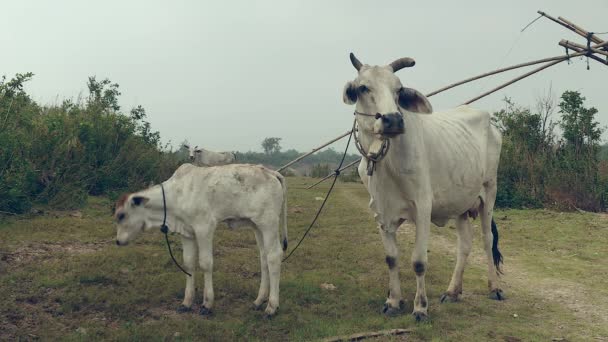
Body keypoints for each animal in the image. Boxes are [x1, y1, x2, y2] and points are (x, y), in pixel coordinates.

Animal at [114, 164, 290, 318]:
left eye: (121, 215)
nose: (117, 241)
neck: (177, 195)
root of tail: (271, 172)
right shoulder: (187, 233)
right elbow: (189, 263)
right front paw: (186, 302)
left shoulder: (204, 227)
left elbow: (205, 263)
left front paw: (207, 304)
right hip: (257, 227)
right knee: (264, 258)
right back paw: (259, 301)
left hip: (268, 223)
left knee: (274, 257)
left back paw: (271, 307)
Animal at [342, 53, 504, 320]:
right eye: (363, 87)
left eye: (398, 90)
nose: (393, 119)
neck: (386, 162)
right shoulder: (380, 213)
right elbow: (391, 258)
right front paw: (393, 301)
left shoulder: (422, 208)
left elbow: (418, 261)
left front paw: (420, 307)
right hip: (460, 203)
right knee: (465, 244)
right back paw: (452, 291)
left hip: (489, 192)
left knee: (487, 239)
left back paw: (495, 288)